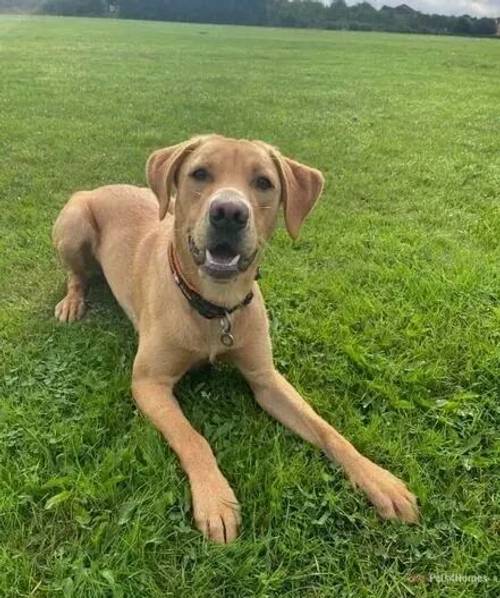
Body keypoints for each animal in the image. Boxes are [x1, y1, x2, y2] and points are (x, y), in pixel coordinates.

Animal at [51, 135, 418, 544]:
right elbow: (193, 439)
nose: (228, 212)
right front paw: (215, 500)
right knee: (76, 275)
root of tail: (99, 188)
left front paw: (379, 479)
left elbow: (326, 429)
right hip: (74, 224)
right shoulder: (149, 383)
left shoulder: (266, 379)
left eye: (263, 182)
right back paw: (72, 302)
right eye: (199, 173)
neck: (215, 306)